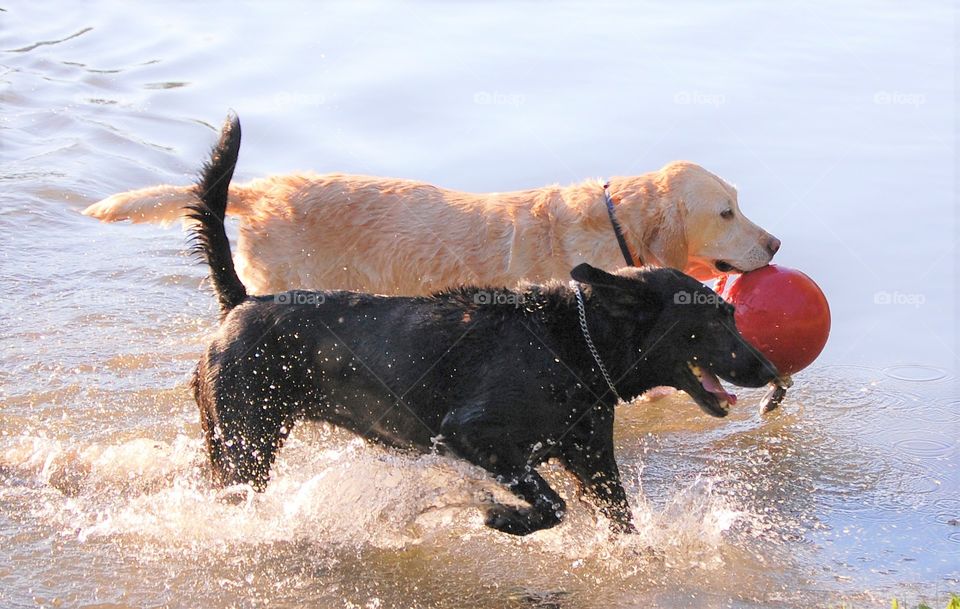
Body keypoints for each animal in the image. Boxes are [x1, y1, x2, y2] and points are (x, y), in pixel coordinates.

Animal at [188, 114, 780, 532]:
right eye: (711, 322)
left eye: (732, 314)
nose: (770, 369)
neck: (574, 343)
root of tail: (242, 302)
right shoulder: (472, 434)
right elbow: (550, 504)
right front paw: (499, 515)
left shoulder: (594, 461)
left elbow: (620, 523)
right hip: (245, 444)